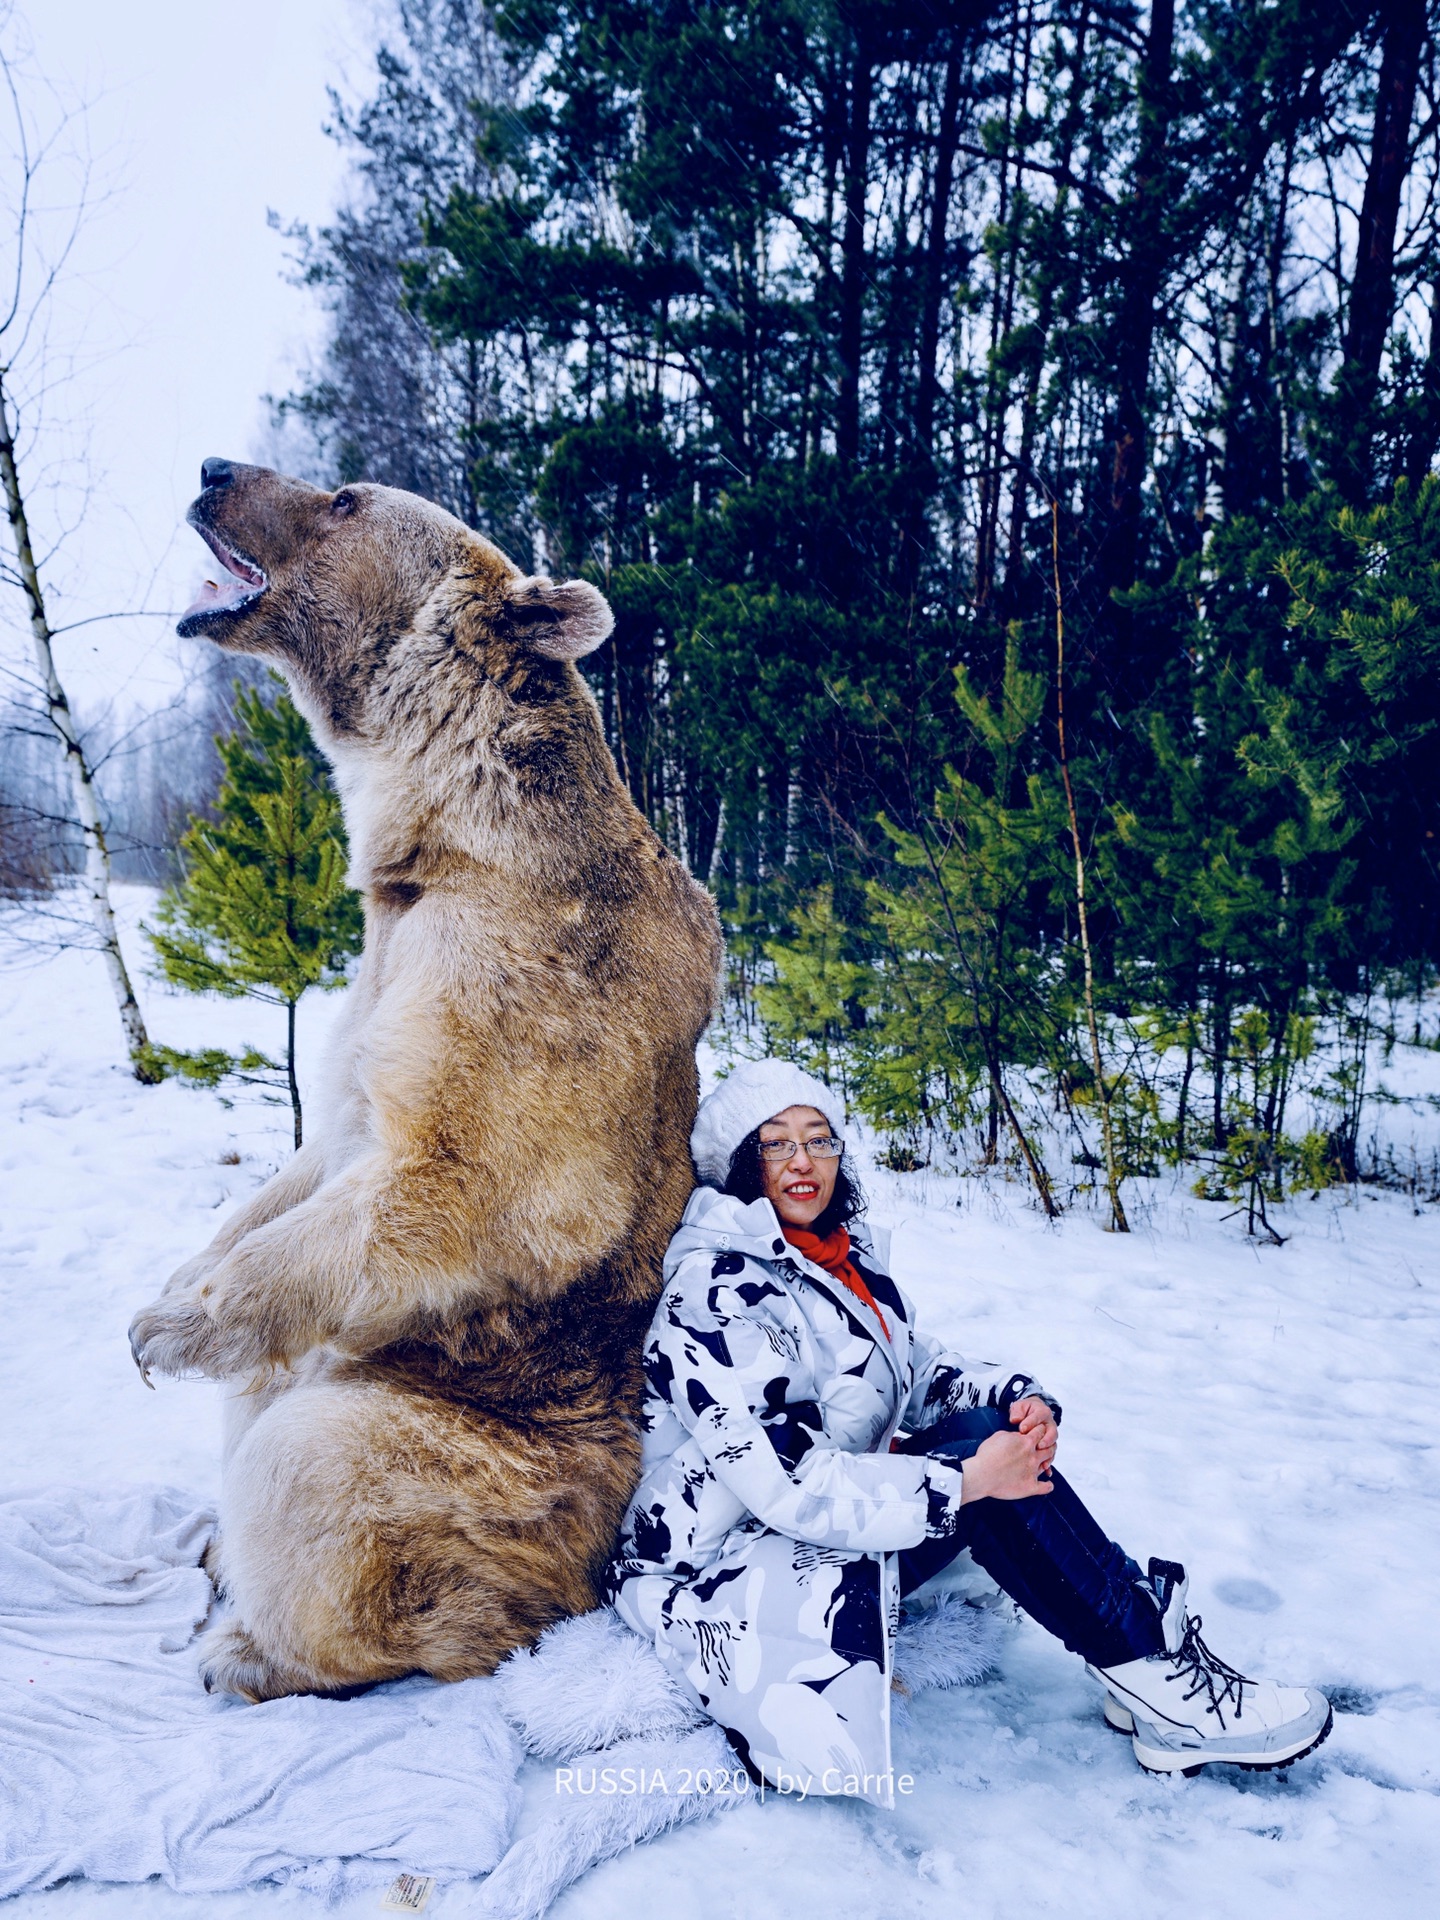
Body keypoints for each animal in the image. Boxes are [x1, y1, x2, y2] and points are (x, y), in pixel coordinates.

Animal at [126, 456, 721, 1704]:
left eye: (345, 498)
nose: (212, 468)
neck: (453, 838)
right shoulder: (383, 968)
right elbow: (320, 1148)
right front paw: (178, 1280)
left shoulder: (520, 978)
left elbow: (457, 1186)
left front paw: (169, 1328)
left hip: (487, 1456)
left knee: (313, 1459)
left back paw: (248, 1646)